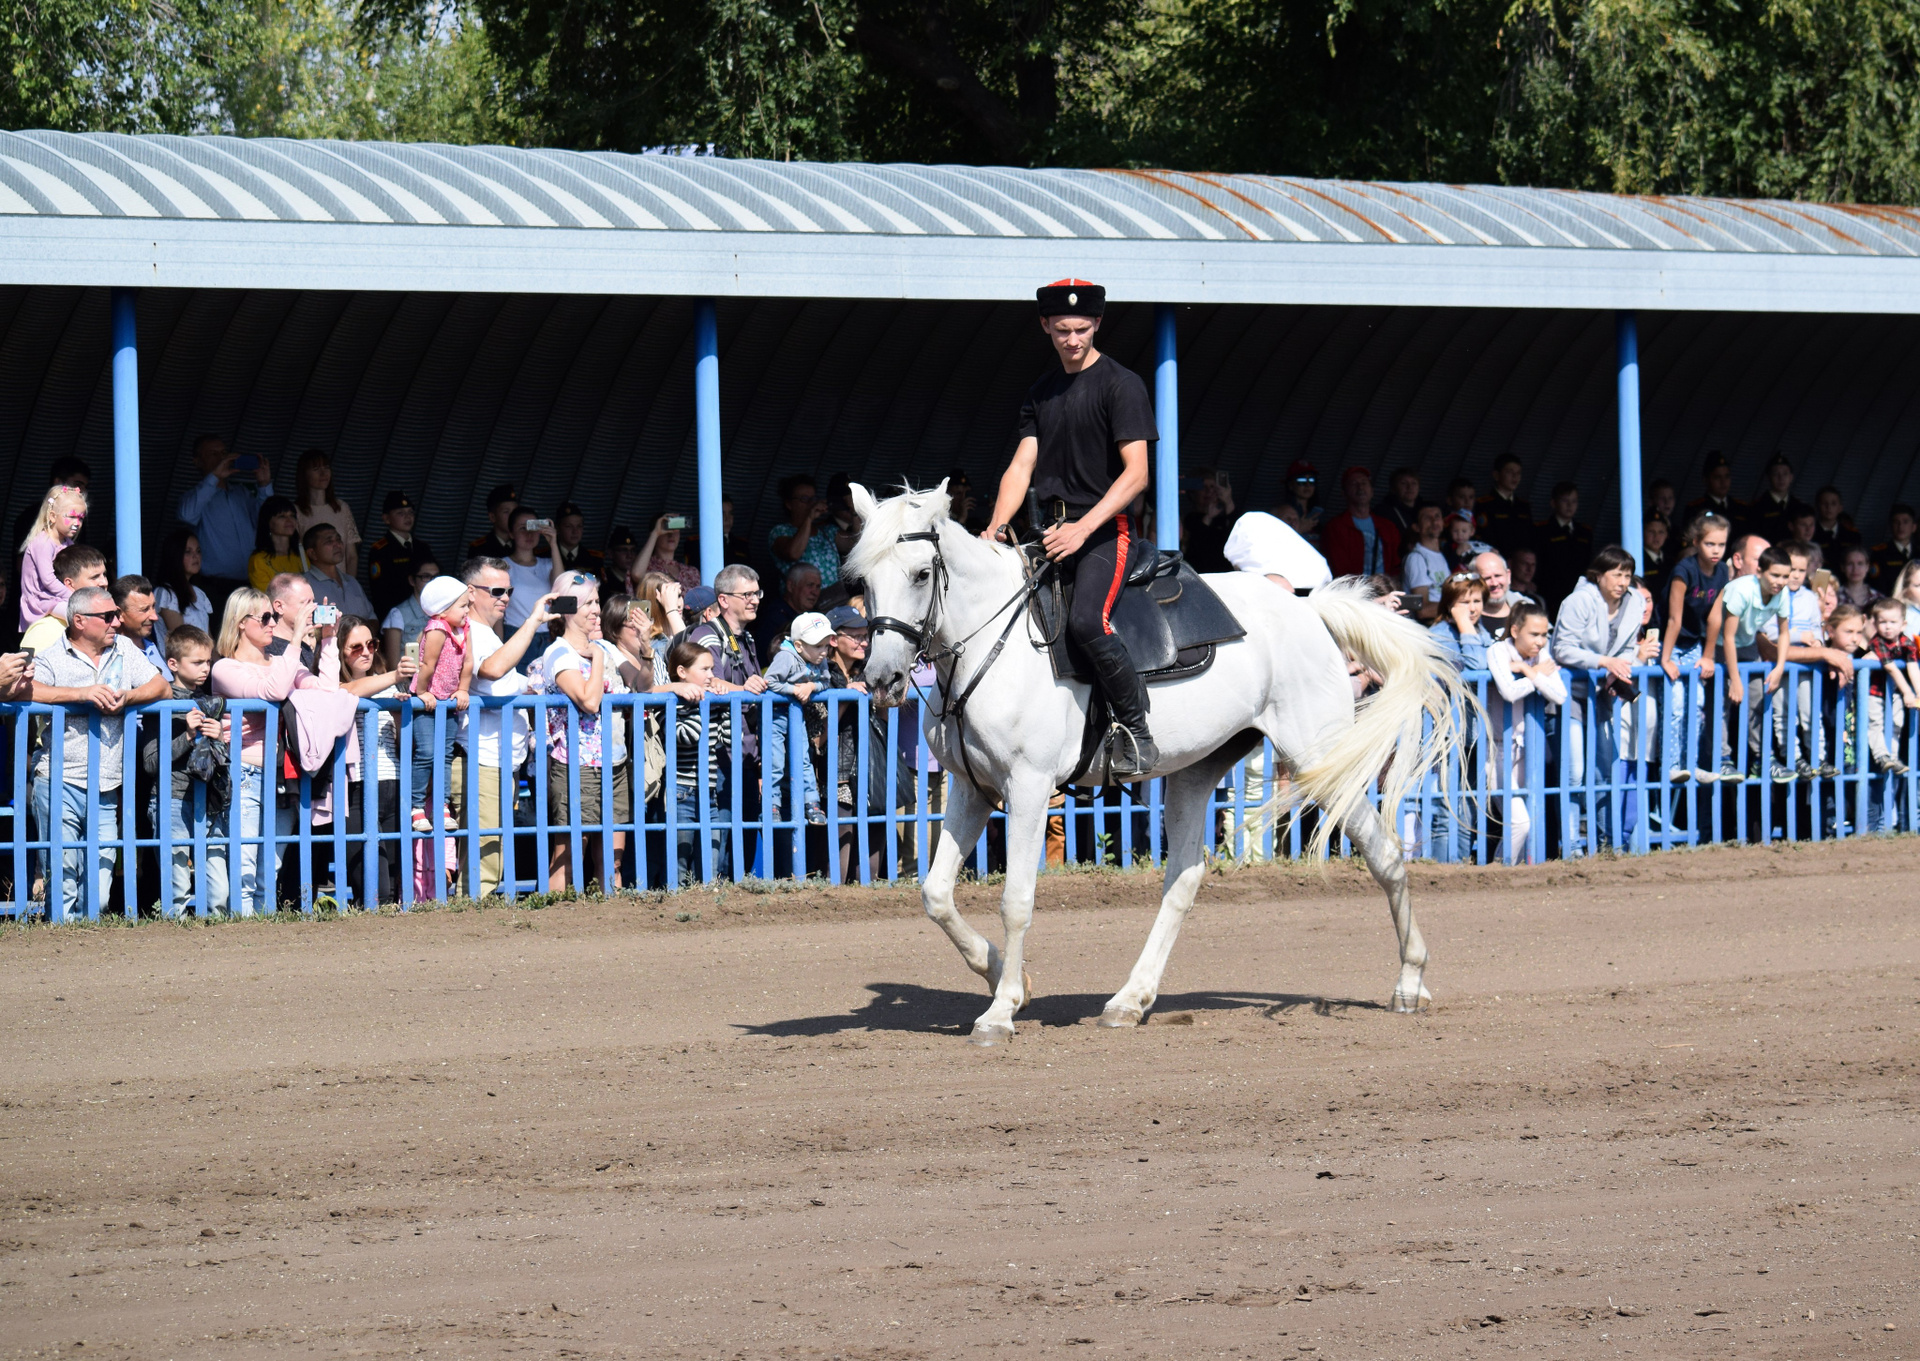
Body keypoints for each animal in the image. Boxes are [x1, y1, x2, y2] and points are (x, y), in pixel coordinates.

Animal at [848, 481, 1476, 1046]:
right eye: (864, 581)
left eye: (921, 574)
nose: (880, 680)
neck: (989, 648)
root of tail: (1306, 608)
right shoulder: (970, 787)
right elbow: (935, 895)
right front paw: (1009, 977)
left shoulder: (1026, 788)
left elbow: (1016, 901)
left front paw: (1000, 1012)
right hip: (1197, 769)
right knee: (1185, 877)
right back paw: (1131, 999)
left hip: (1320, 759)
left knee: (1385, 854)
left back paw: (1410, 983)